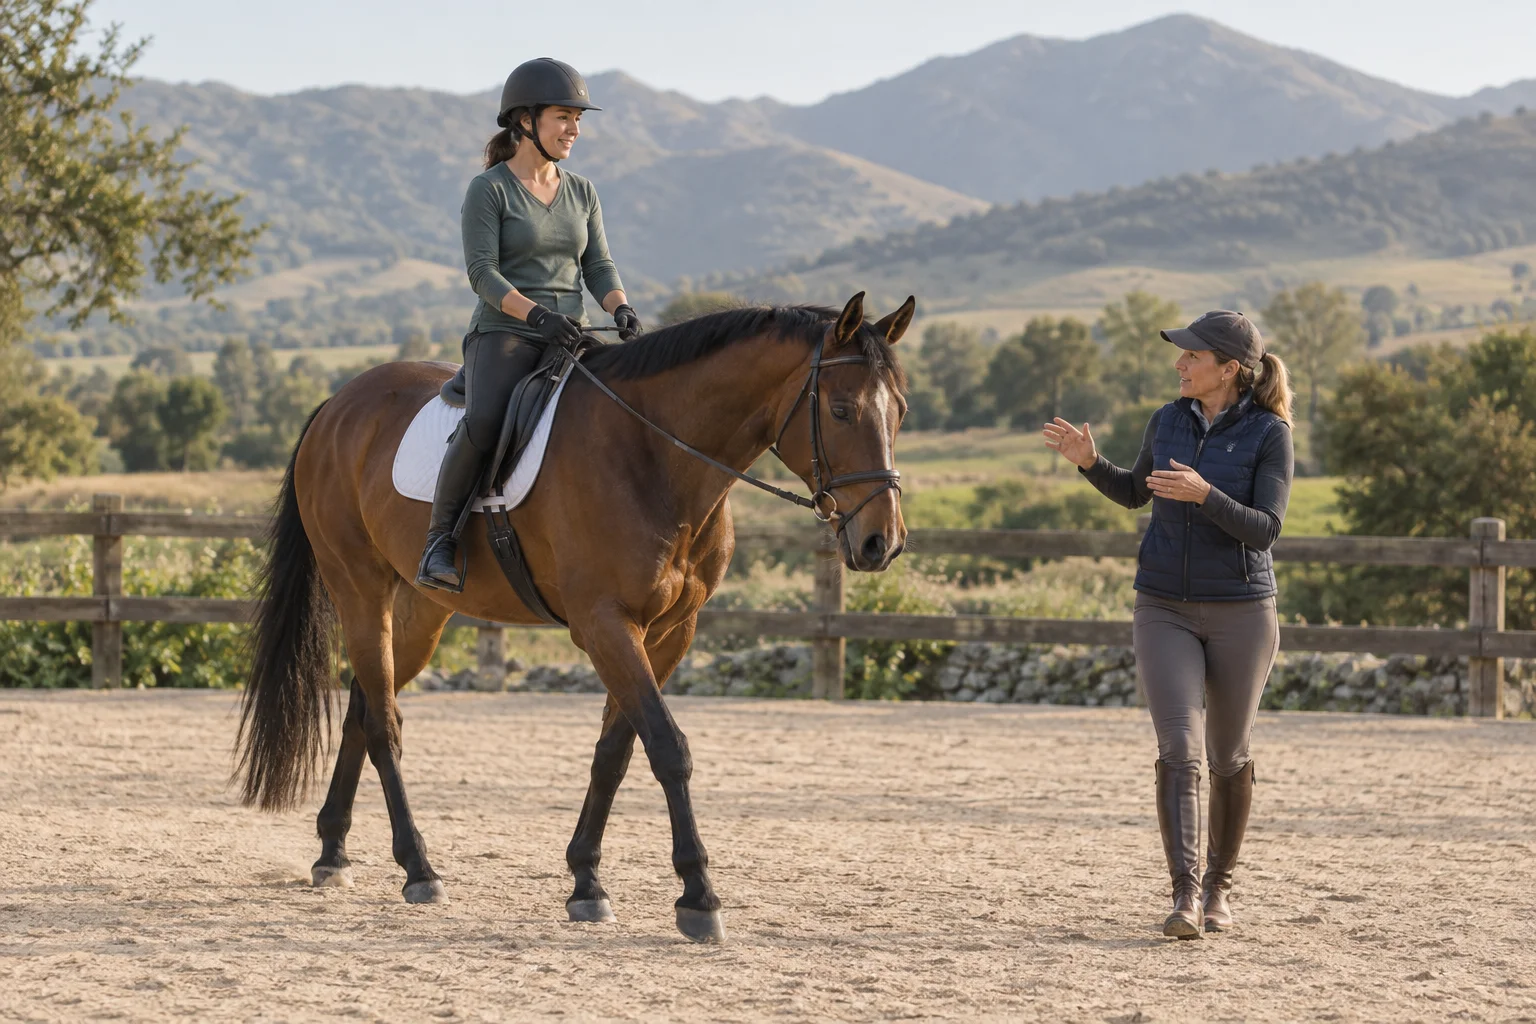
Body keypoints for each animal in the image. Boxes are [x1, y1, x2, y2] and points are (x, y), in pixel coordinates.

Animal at [235, 292, 914, 942]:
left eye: (900, 411)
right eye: (842, 410)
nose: (881, 543)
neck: (656, 456)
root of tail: (338, 404)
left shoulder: (669, 633)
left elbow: (616, 750)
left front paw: (587, 882)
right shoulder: (604, 625)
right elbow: (667, 747)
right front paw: (698, 897)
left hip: (421, 609)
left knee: (364, 702)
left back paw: (333, 852)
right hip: (359, 587)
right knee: (383, 724)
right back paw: (418, 869)